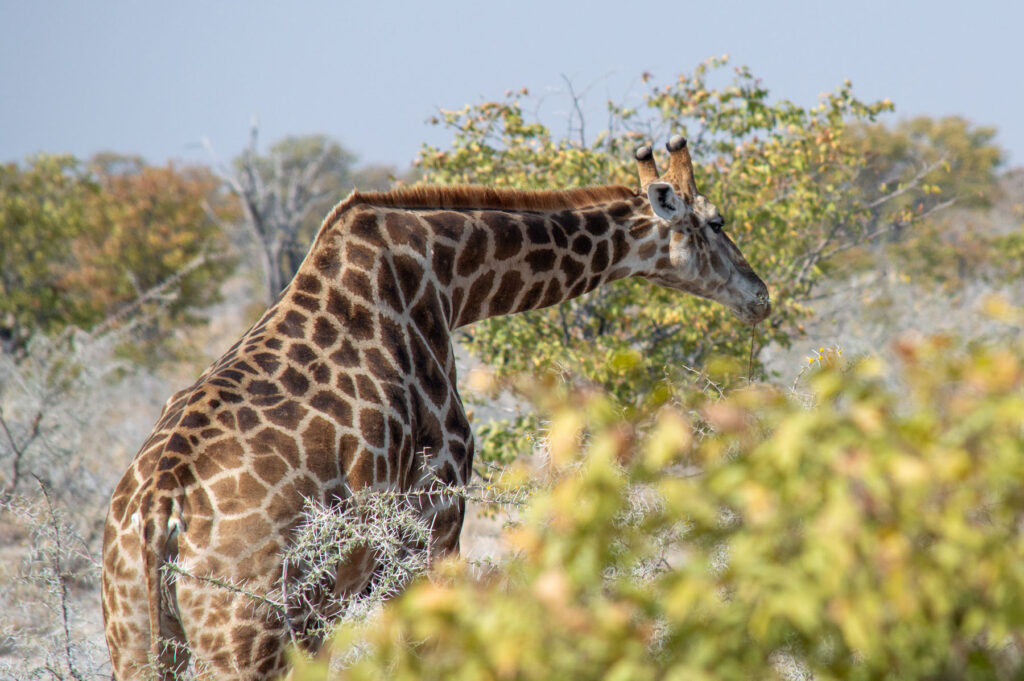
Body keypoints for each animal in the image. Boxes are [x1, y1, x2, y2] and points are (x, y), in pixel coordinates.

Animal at [101, 136, 770, 680]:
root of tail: (159, 511)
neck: (449, 280)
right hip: (247, 636)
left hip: (135, 633)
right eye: (717, 221)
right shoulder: (436, 517)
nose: (759, 295)